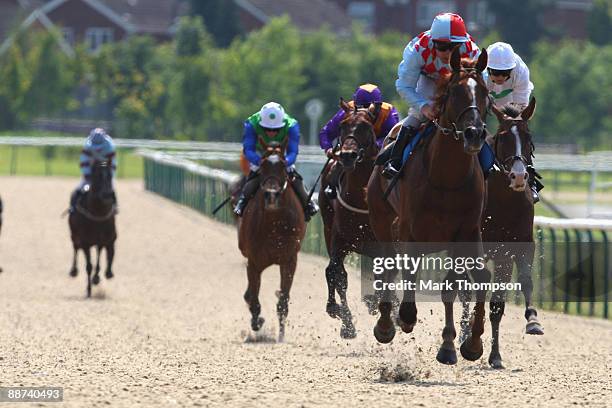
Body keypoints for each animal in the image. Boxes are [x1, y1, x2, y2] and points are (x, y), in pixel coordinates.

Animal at [69, 161, 117, 298]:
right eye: (97, 176)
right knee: (75, 249)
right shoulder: (85, 242)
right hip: (74, 236)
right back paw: (74, 271)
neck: (98, 214)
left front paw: (102, 275)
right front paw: (89, 290)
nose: (107, 195)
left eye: (110, 176)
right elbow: (89, 266)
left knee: (99, 252)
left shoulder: (108, 240)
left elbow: (106, 259)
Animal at [238, 143, 306, 342]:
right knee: (249, 295)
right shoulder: (254, 262)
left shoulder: (289, 260)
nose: (272, 195)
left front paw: (281, 336)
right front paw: (257, 322)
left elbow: (283, 301)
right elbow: (254, 298)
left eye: (283, 165)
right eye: (262, 165)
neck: (274, 224)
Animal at [318, 99, 380, 338]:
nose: (347, 155)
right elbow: (337, 274)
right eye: (343, 125)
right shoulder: (339, 240)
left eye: (366, 126)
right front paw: (345, 320)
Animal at [368, 49, 492, 364]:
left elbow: (465, 281)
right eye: (454, 92)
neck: (446, 178)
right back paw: (386, 325)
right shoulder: (408, 230)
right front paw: (405, 317)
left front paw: (465, 344)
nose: (474, 133)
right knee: (387, 268)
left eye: (485, 92)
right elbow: (407, 274)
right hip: (381, 220)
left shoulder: (466, 232)